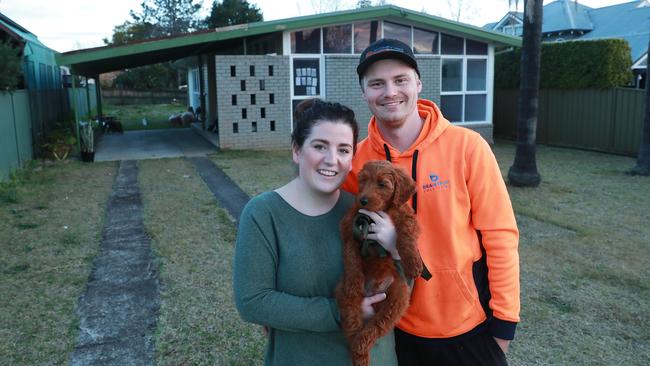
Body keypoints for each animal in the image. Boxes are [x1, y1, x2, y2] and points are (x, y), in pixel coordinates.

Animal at [334, 160, 420, 366]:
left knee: (375, 327)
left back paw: (361, 347)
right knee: (353, 326)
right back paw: (358, 352)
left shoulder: (406, 216)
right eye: (363, 180)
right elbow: (351, 257)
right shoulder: (351, 228)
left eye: (382, 184)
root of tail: (372, 292)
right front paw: (354, 279)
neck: (379, 211)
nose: (363, 200)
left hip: (399, 298)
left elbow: (406, 235)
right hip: (345, 296)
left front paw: (413, 263)